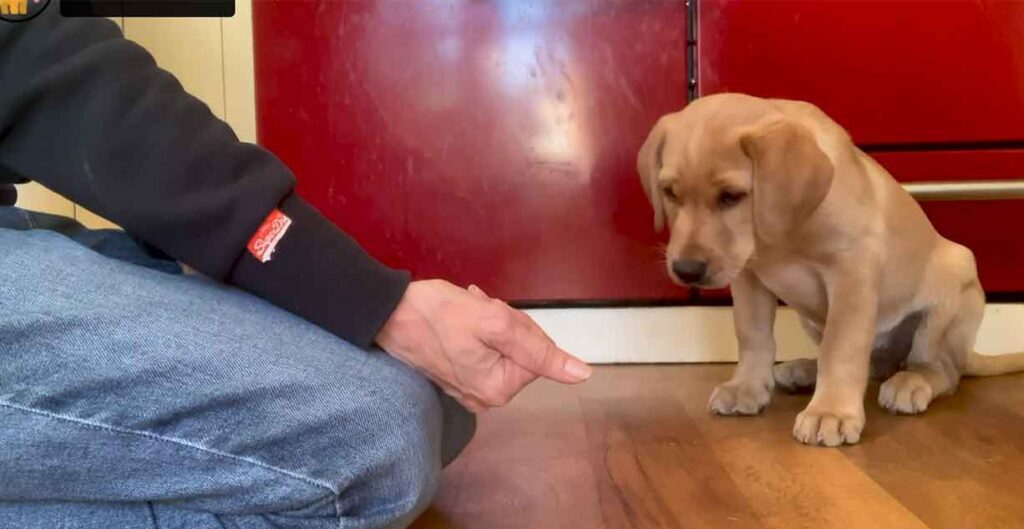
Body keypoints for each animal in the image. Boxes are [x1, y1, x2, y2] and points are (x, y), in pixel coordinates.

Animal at [638, 91, 1024, 446]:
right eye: (669, 193)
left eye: (731, 196)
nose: (686, 271)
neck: (781, 235)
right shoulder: (747, 276)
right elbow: (752, 334)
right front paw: (746, 388)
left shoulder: (851, 271)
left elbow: (841, 347)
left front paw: (831, 412)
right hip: (813, 319)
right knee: (871, 364)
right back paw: (803, 369)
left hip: (952, 287)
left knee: (941, 370)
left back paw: (910, 382)